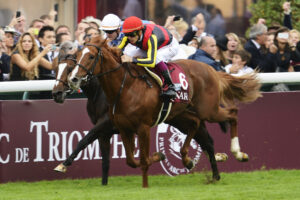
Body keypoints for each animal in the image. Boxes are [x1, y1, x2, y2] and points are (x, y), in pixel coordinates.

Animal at [51, 41, 117, 184]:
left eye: (70, 68)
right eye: (56, 69)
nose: (56, 94)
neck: (98, 93)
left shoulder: (106, 122)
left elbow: (83, 140)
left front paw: (63, 164)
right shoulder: (104, 131)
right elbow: (105, 162)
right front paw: (104, 185)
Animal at [69, 36, 262, 188]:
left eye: (91, 56)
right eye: (77, 56)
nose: (74, 78)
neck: (126, 88)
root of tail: (213, 70)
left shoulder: (143, 127)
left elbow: (143, 159)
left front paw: (151, 171)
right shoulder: (123, 128)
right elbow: (131, 160)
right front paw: (160, 155)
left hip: (209, 110)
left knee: (232, 113)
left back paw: (238, 153)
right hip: (181, 116)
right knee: (198, 128)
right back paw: (196, 164)